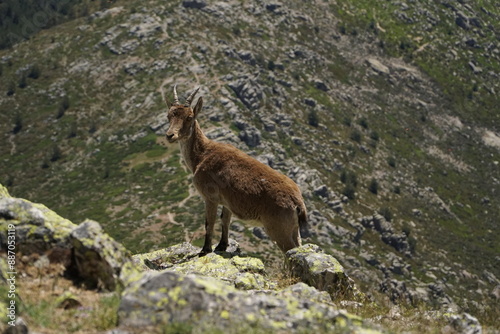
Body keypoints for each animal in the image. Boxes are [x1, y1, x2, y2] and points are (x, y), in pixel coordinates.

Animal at [164, 86, 306, 256]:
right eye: (169, 115)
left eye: (189, 117)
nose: (170, 135)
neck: (202, 154)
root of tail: (297, 202)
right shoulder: (227, 202)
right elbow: (225, 220)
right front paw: (222, 246)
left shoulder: (210, 197)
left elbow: (209, 223)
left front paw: (205, 250)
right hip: (293, 229)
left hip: (278, 229)